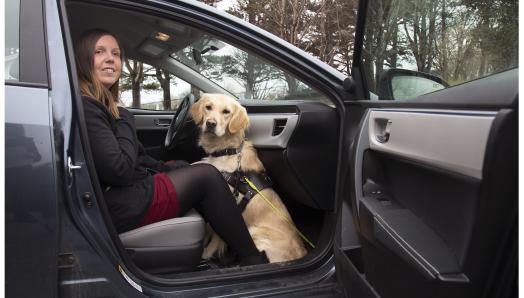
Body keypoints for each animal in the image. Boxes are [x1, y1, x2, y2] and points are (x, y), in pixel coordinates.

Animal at [191, 93, 308, 264]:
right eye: (208, 107)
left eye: (226, 112)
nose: (211, 124)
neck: (227, 150)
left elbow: (216, 237)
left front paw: (205, 254)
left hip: (254, 232)